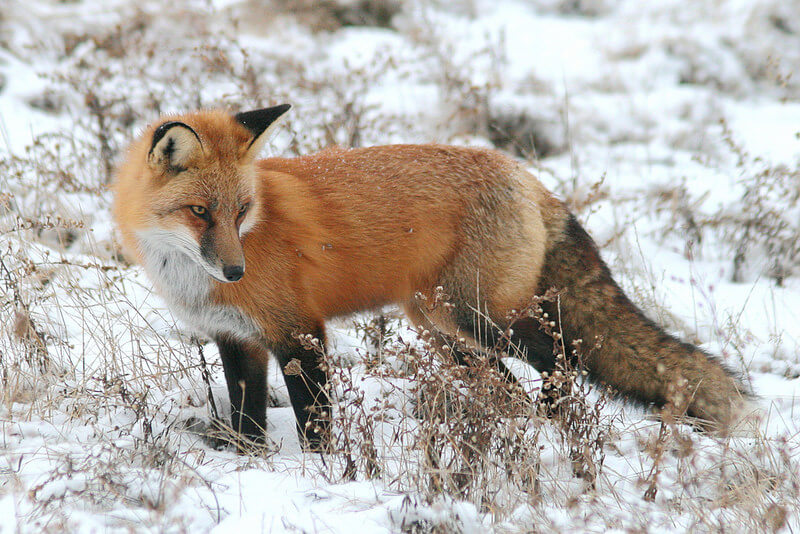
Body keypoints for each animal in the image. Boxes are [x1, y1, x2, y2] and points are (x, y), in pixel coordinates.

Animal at [112, 105, 752, 452]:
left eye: (241, 211)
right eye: (201, 212)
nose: (235, 270)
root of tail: (527, 177)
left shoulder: (300, 332)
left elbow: (315, 421)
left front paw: (322, 472)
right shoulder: (238, 339)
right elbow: (246, 422)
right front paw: (250, 466)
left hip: (480, 319)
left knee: (563, 357)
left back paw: (559, 426)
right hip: (447, 333)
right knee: (509, 387)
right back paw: (519, 429)